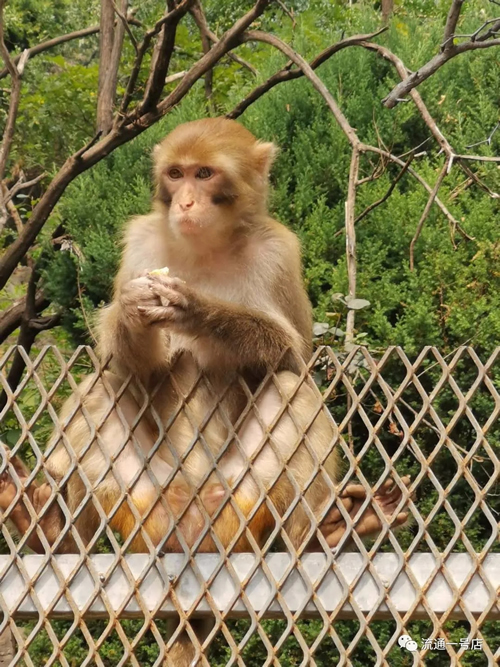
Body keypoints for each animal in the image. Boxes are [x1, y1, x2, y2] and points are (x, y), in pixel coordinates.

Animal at [0, 118, 410, 664]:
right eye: (175, 174)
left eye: (204, 173)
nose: (186, 201)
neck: (206, 246)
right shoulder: (142, 239)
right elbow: (127, 364)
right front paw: (132, 310)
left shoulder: (279, 252)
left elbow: (292, 355)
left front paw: (194, 308)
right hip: (142, 495)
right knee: (101, 386)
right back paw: (51, 532)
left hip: (245, 496)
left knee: (292, 388)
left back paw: (321, 537)